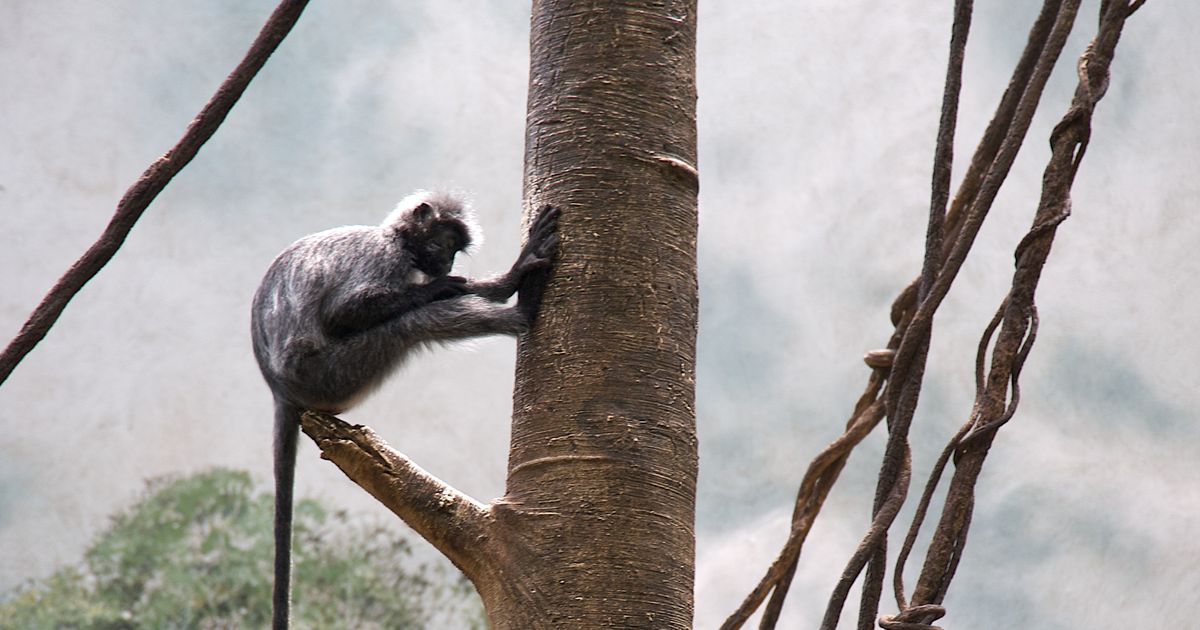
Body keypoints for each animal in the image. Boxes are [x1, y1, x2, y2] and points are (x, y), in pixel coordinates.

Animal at [249, 191, 559, 630]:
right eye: (445, 243)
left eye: (455, 249)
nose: (447, 264)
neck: (395, 239)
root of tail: (279, 388)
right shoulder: (385, 258)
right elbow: (343, 313)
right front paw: (479, 282)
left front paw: (501, 281)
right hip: (330, 373)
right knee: (413, 322)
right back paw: (523, 310)